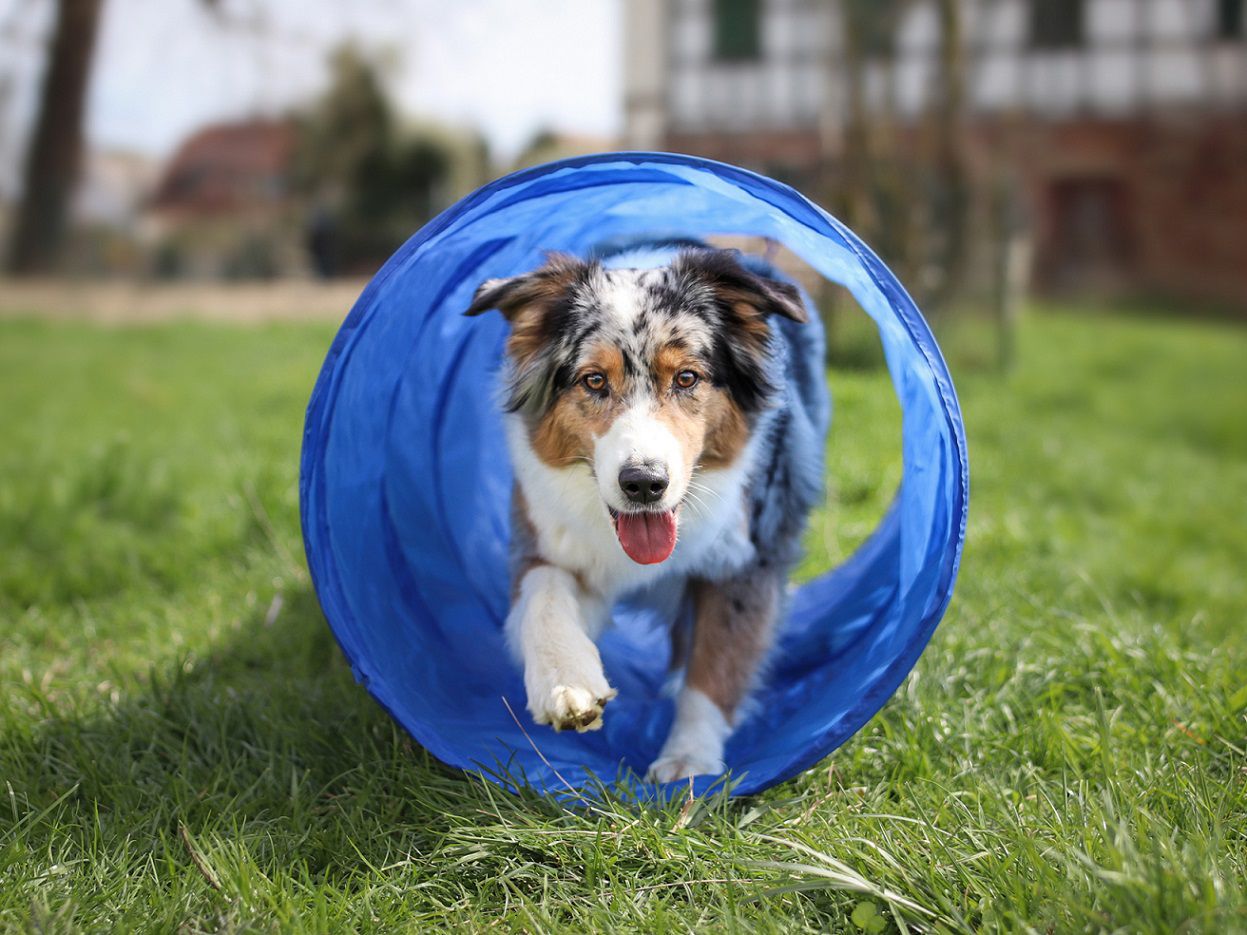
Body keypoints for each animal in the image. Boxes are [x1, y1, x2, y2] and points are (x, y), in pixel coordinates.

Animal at [468, 241, 828, 782]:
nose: (643, 484)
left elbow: (714, 665)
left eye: (687, 378)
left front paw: (689, 759)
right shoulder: (548, 538)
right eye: (594, 380)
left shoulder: (746, 561)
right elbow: (542, 594)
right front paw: (565, 682)